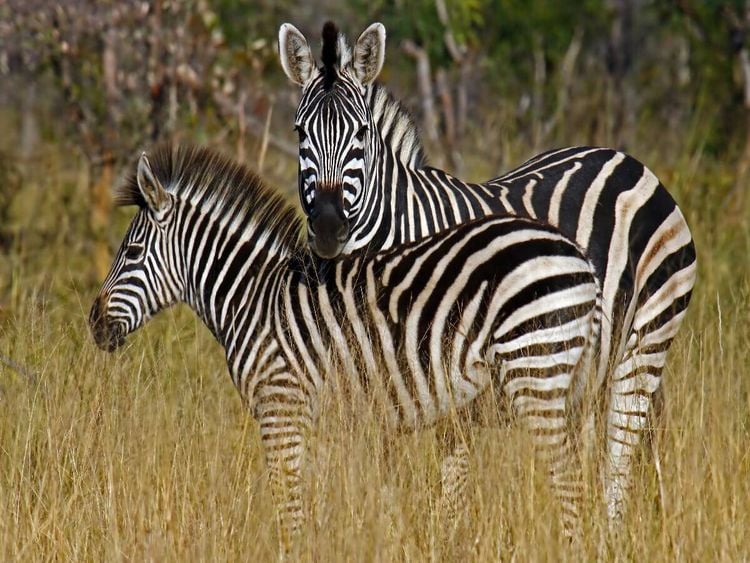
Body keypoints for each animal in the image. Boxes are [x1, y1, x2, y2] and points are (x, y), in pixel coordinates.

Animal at [90, 144, 602, 545]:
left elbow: (288, 502)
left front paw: (293, 550)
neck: (254, 298)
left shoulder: (281, 405)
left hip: (534, 367)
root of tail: (576, 254)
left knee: (569, 480)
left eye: (131, 253)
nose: (94, 324)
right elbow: (315, 497)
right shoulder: (313, 417)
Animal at [278, 21, 698, 522]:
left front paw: (438, 533)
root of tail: (625, 160)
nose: (327, 226)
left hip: (645, 341)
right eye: (299, 131)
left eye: (361, 132)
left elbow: (449, 480)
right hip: (587, 365)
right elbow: (381, 476)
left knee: (619, 457)